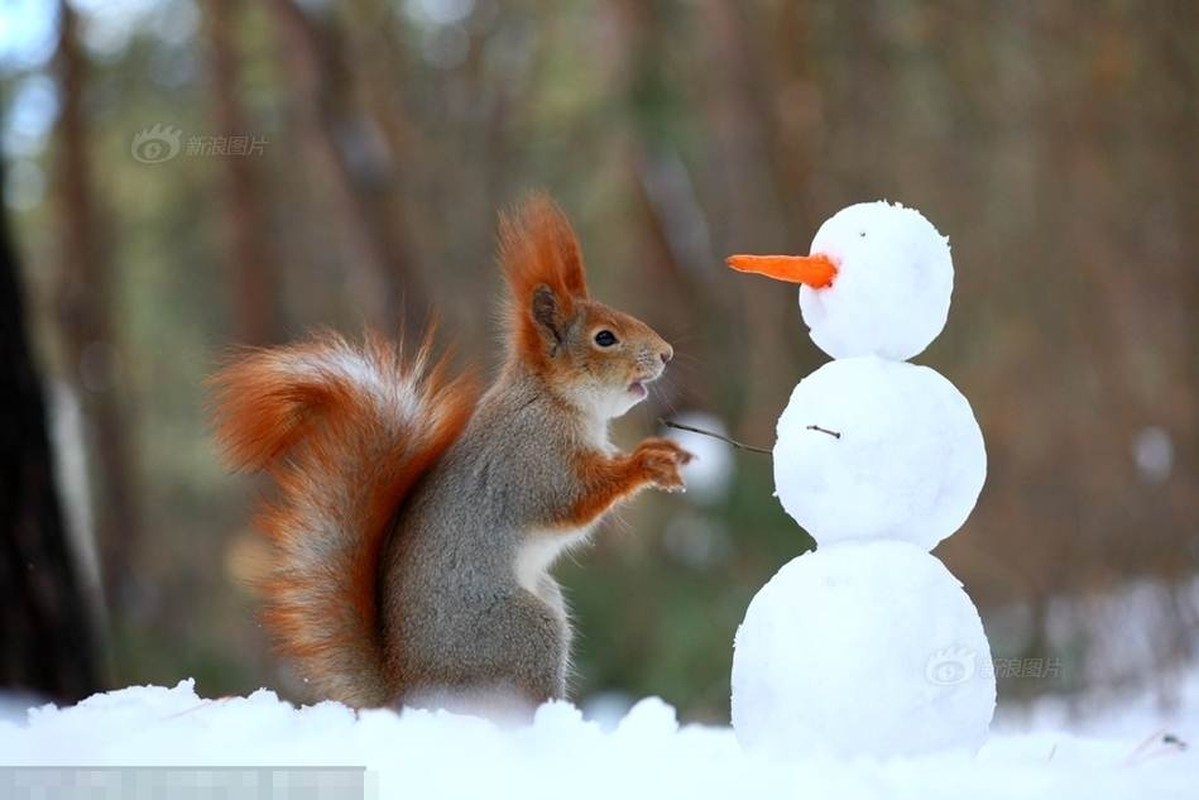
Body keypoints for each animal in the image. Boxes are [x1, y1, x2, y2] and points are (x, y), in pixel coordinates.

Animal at [207, 191, 695, 705]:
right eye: (605, 337)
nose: (667, 354)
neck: (552, 398)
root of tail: (410, 693)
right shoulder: (532, 457)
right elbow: (572, 499)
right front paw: (648, 463)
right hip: (522, 633)